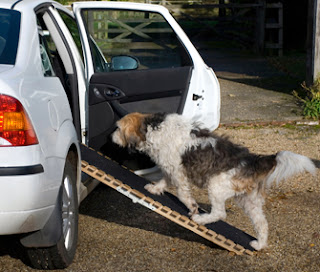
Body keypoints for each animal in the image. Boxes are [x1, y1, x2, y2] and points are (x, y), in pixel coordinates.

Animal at [111, 111, 316, 250]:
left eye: (118, 128)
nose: (111, 137)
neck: (153, 127)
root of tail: (250, 160)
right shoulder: (170, 169)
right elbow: (164, 181)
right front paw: (155, 189)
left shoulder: (177, 171)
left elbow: (182, 193)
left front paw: (192, 207)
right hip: (249, 201)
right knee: (262, 224)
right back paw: (259, 244)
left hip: (216, 187)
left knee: (219, 213)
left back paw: (201, 219)